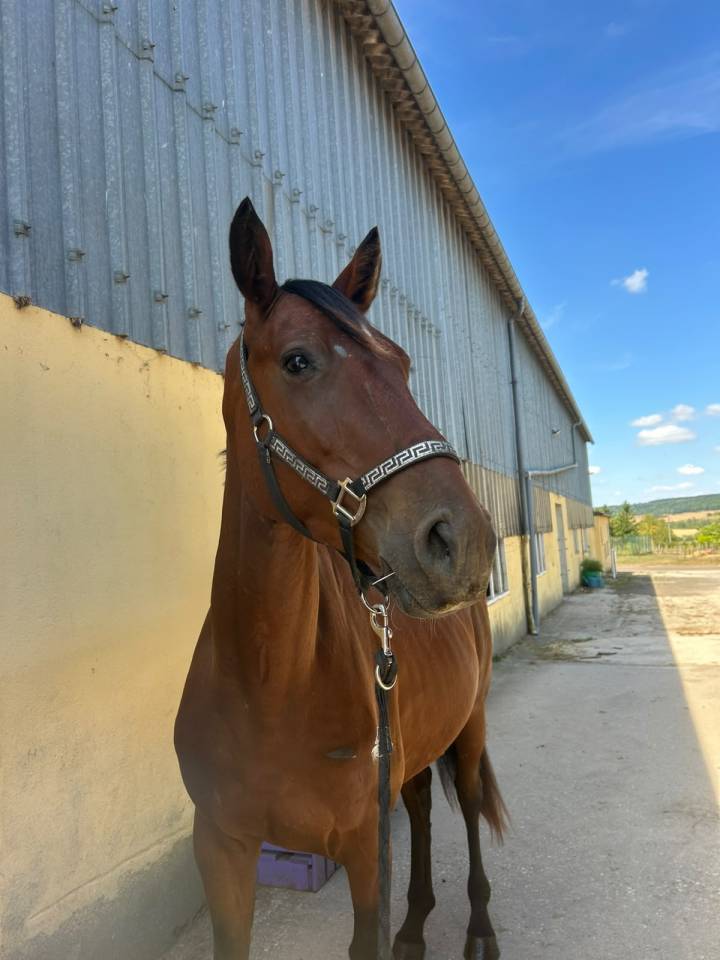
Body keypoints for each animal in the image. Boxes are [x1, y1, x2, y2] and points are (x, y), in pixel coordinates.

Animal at [174, 198, 507, 960]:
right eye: (298, 360)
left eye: (404, 366)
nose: (465, 543)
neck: (269, 683)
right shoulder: (222, 847)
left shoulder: (360, 849)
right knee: (421, 807)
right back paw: (414, 927)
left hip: (469, 727)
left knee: (470, 807)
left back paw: (479, 929)